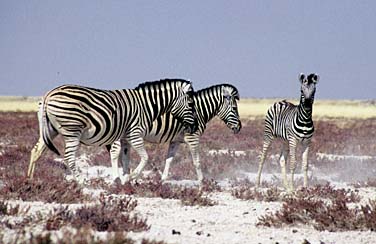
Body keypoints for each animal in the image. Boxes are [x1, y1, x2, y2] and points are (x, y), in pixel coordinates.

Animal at [26, 79, 198, 182]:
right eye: (191, 103)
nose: (195, 126)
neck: (146, 106)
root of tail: (49, 94)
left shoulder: (125, 138)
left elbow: (126, 159)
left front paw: (125, 180)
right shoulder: (135, 133)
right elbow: (145, 157)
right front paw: (132, 176)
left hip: (50, 129)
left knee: (36, 150)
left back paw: (30, 179)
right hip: (72, 130)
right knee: (68, 156)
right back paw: (81, 181)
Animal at [108, 83, 242, 181]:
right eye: (235, 108)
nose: (239, 127)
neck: (199, 111)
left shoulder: (175, 140)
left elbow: (169, 160)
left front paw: (162, 180)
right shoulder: (193, 138)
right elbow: (197, 162)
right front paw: (202, 183)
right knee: (114, 153)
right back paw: (116, 178)